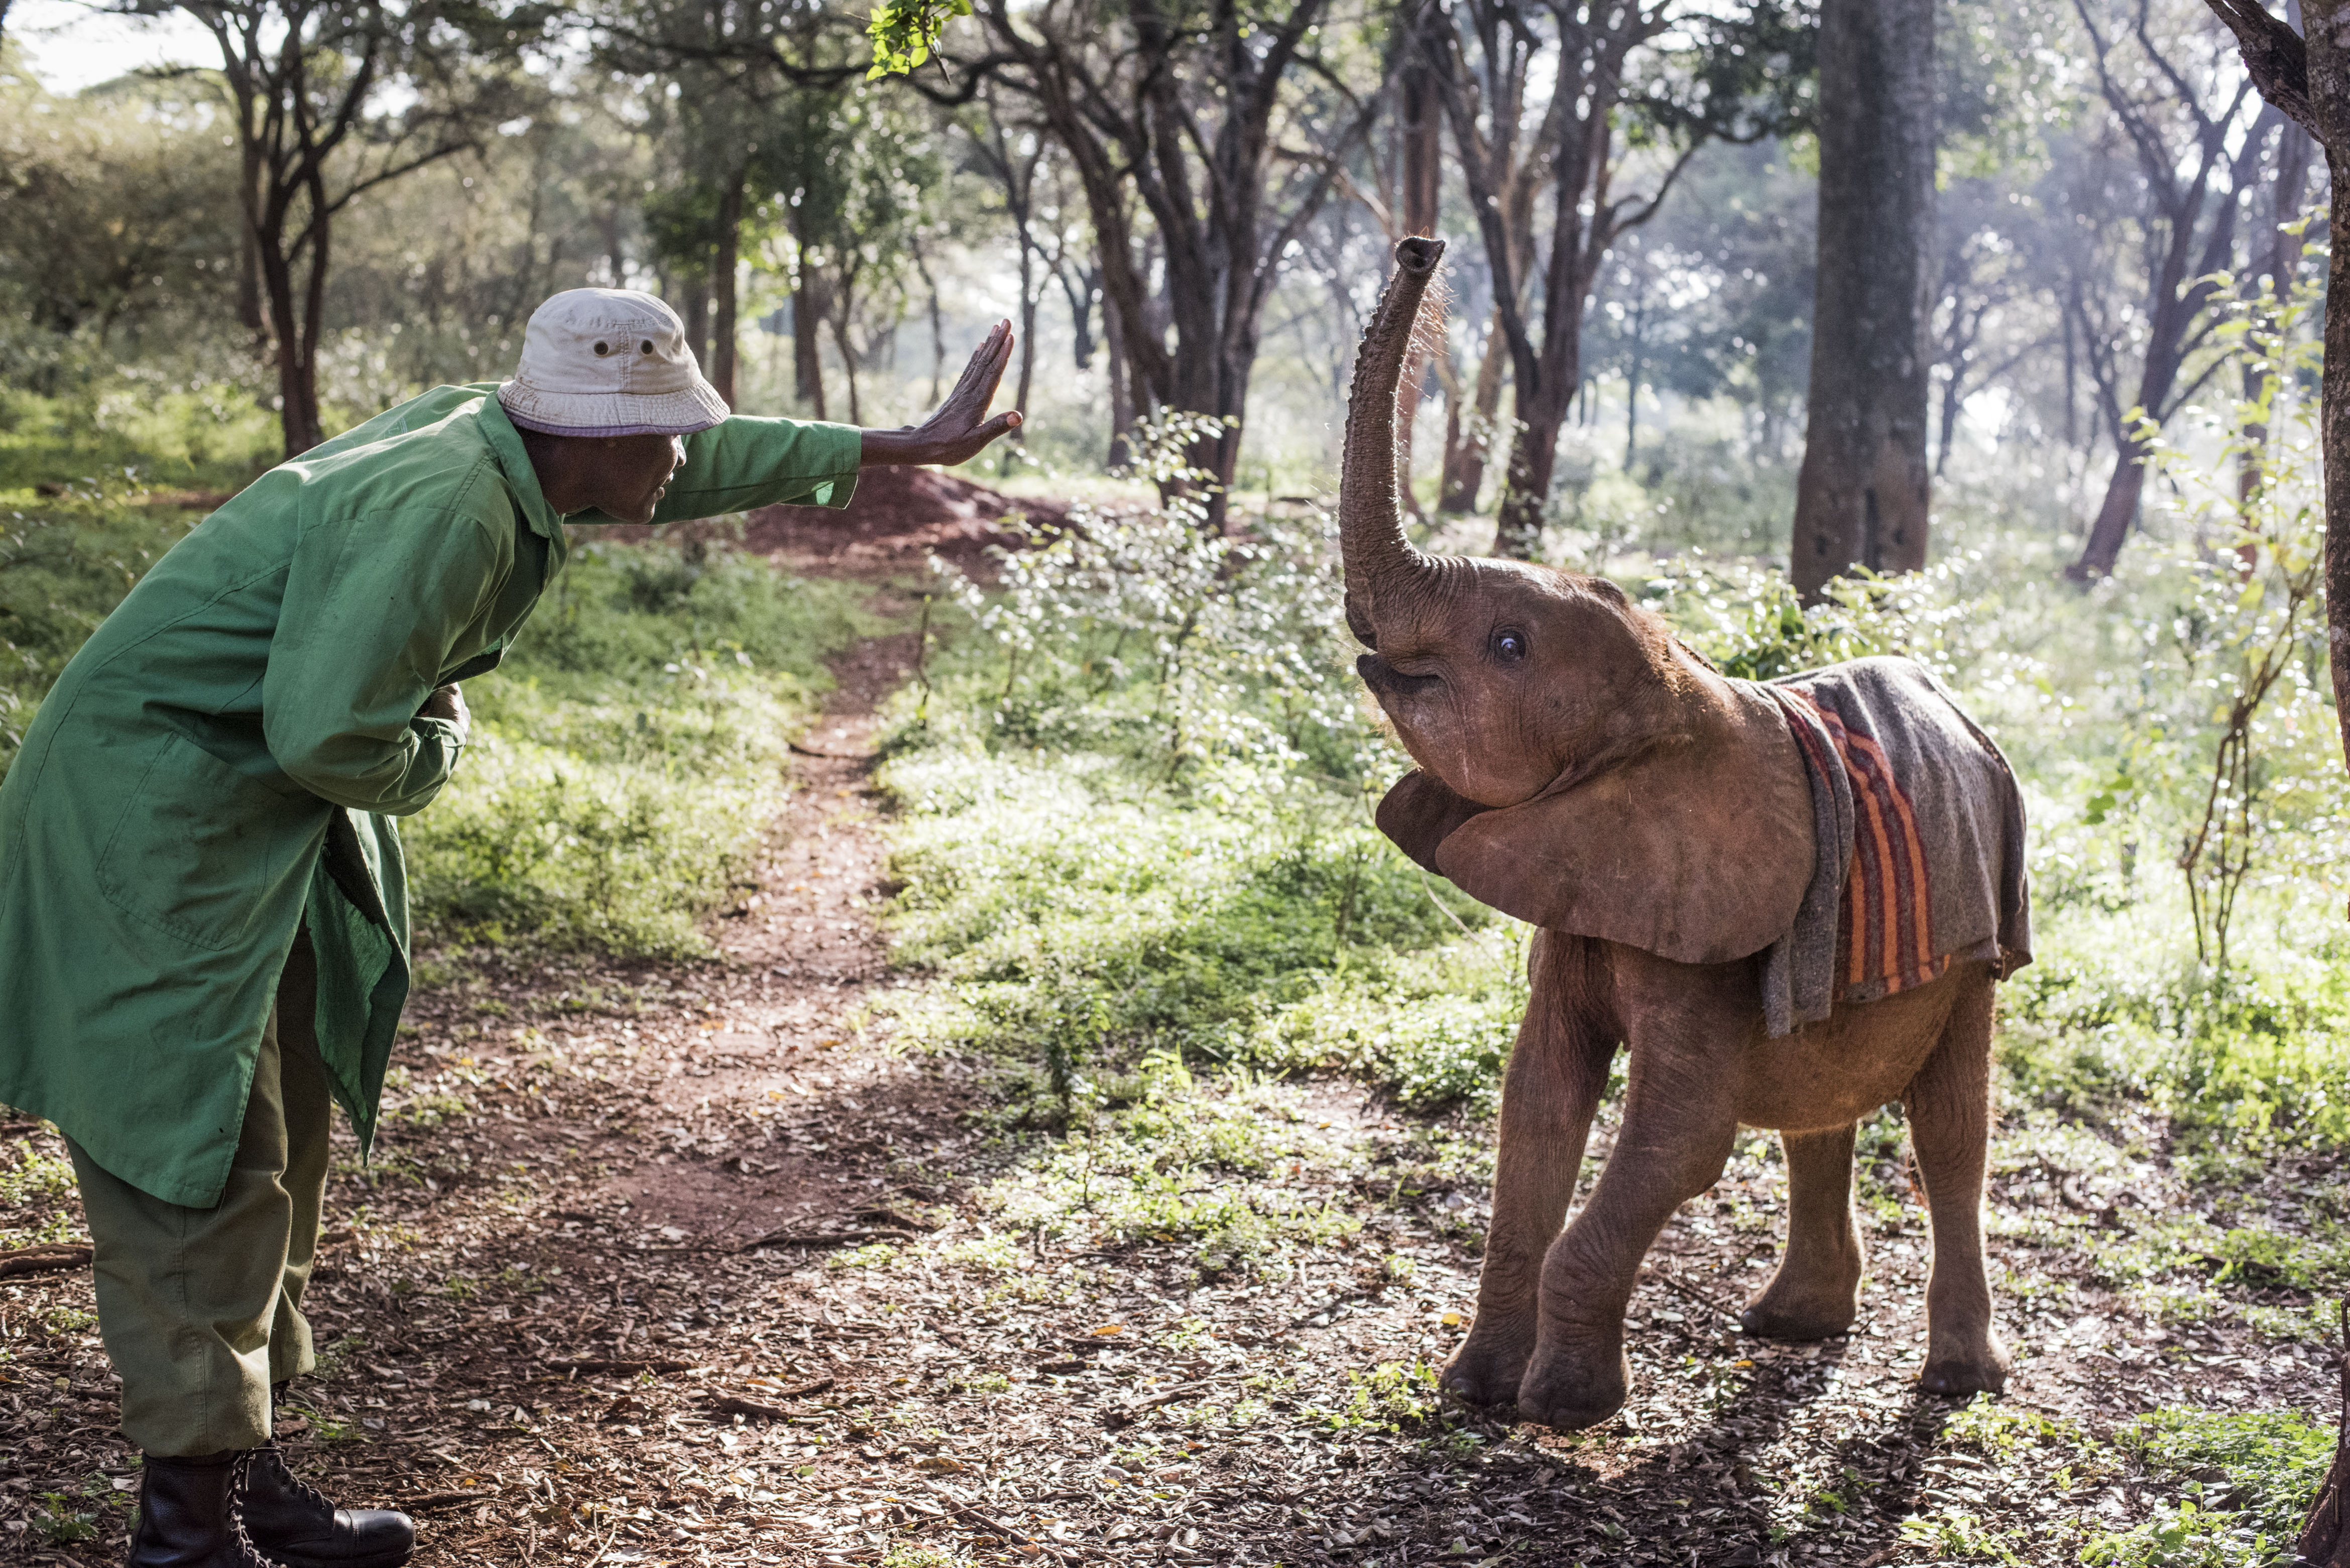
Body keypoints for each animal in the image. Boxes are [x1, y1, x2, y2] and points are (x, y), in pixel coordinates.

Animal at [1337, 237, 2033, 1431]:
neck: (1681, 688)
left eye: (1510, 644)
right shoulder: (1588, 891)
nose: (1422, 247)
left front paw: (1562, 1410)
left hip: (1974, 949)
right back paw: (1793, 1326)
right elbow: (1537, 1102)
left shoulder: (1697, 919)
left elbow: (1680, 1134)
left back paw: (1955, 1379)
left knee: (1951, 1128)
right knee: (1820, 1101)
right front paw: (1475, 1390)